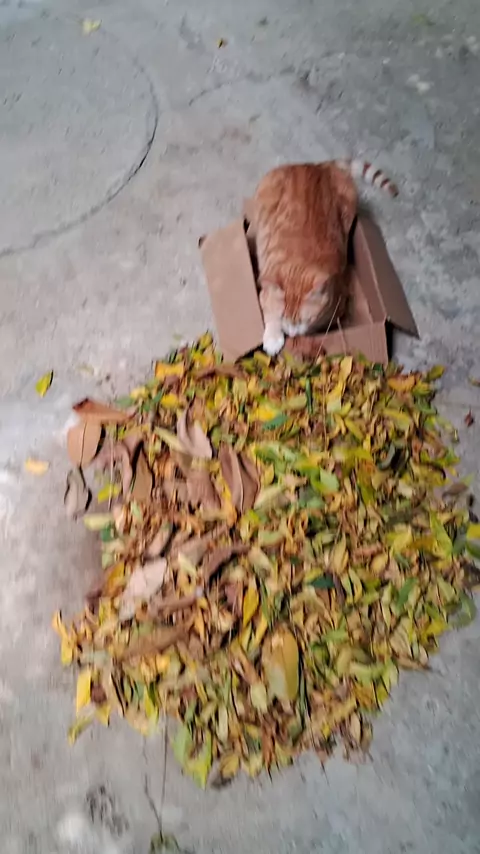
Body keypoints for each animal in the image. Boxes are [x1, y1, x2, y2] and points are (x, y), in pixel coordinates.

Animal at [252, 159, 398, 356]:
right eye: (282, 317)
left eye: (305, 320)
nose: (291, 333)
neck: (299, 261)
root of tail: (316, 166)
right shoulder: (265, 293)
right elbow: (269, 312)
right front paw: (273, 338)